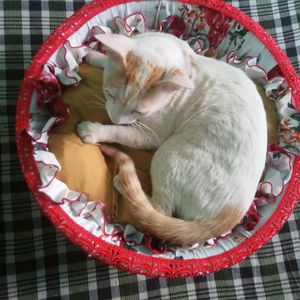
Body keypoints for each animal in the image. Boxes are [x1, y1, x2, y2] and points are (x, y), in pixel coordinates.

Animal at [78, 31, 268, 245]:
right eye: (110, 94)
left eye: (138, 111)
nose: (115, 119)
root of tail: (233, 213)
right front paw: (95, 56)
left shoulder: (150, 136)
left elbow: (120, 132)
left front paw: (95, 131)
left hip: (167, 155)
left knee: (159, 210)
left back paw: (123, 184)